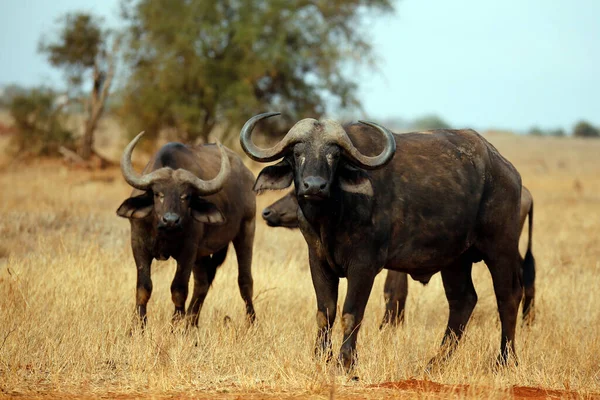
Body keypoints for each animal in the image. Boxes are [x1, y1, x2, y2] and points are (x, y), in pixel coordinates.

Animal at [117, 133, 258, 326]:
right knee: (202, 283)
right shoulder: (139, 246)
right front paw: (138, 326)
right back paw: (191, 324)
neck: (164, 233)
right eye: (158, 194)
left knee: (245, 280)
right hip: (202, 255)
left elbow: (178, 289)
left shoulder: (188, 252)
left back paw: (251, 323)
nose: (171, 220)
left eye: (186, 196)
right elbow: (143, 288)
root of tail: (247, 175)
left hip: (246, 229)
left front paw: (175, 326)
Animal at [241, 111, 532, 370]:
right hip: (456, 260)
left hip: (501, 248)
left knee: (508, 296)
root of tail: (509, 172)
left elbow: (351, 313)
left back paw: (504, 361)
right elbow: (325, 314)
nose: (314, 186)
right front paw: (321, 358)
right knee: (463, 300)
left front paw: (345, 363)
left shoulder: (364, 265)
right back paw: (434, 364)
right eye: (297, 153)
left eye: (333, 155)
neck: (331, 218)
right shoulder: (318, 260)